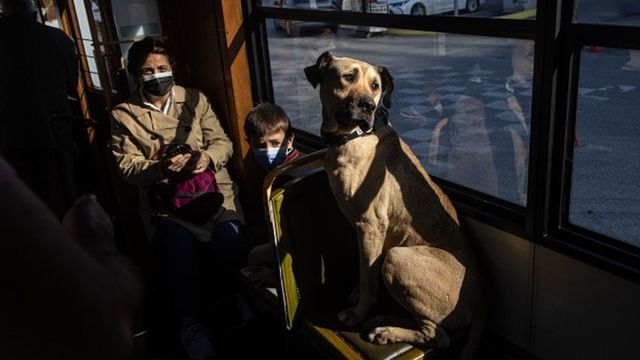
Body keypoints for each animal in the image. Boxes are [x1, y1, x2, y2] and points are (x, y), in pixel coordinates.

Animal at [306, 52, 484, 358]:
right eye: (348, 77)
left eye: (375, 86)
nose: (368, 105)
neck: (353, 136)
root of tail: (478, 306)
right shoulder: (366, 235)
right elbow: (366, 271)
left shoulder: (370, 227)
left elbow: (368, 280)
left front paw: (357, 313)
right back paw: (386, 319)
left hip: (397, 258)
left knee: (437, 334)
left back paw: (387, 331)